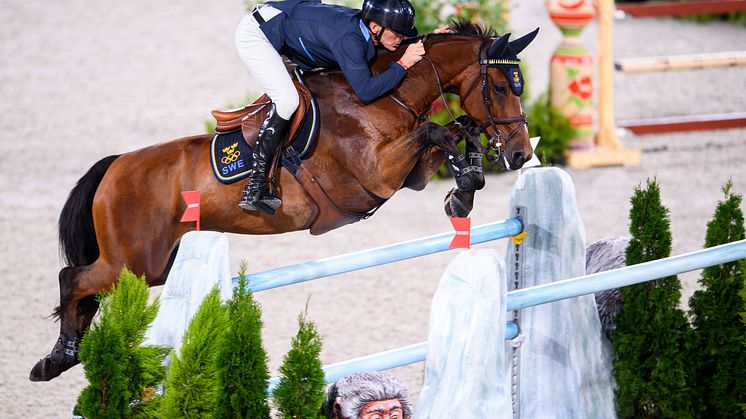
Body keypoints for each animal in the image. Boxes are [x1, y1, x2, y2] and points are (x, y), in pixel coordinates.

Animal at [30, 19, 536, 382]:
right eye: (498, 87)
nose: (519, 154)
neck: (381, 96)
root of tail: (115, 166)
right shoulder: (373, 176)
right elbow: (437, 130)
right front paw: (464, 184)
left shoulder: (408, 173)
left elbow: (455, 130)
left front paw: (464, 190)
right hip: (134, 262)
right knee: (73, 279)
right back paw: (56, 359)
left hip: (151, 267)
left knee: (85, 290)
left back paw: (63, 355)